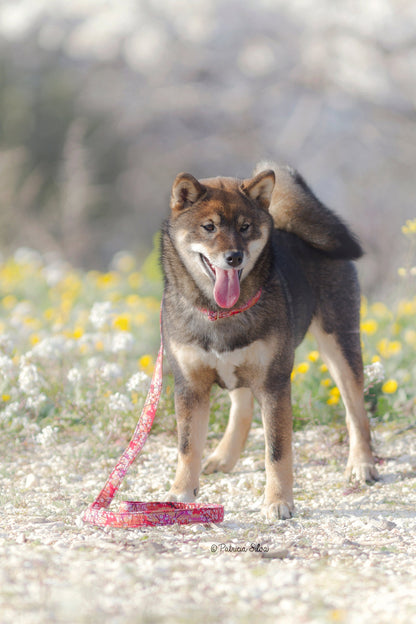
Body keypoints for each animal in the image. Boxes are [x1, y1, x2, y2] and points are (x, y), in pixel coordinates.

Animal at [161, 163, 378, 520]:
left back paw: (362, 464)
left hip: (339, 347)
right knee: (242, 406)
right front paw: (181, 493)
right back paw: (224, 456)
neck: (221, 314)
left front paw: (278, 501)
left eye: (245, 227)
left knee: (356, 412)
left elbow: (277, 450)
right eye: (209, 227)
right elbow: (188, 446)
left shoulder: (274, 383)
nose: (234, 257)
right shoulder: (190, 386)